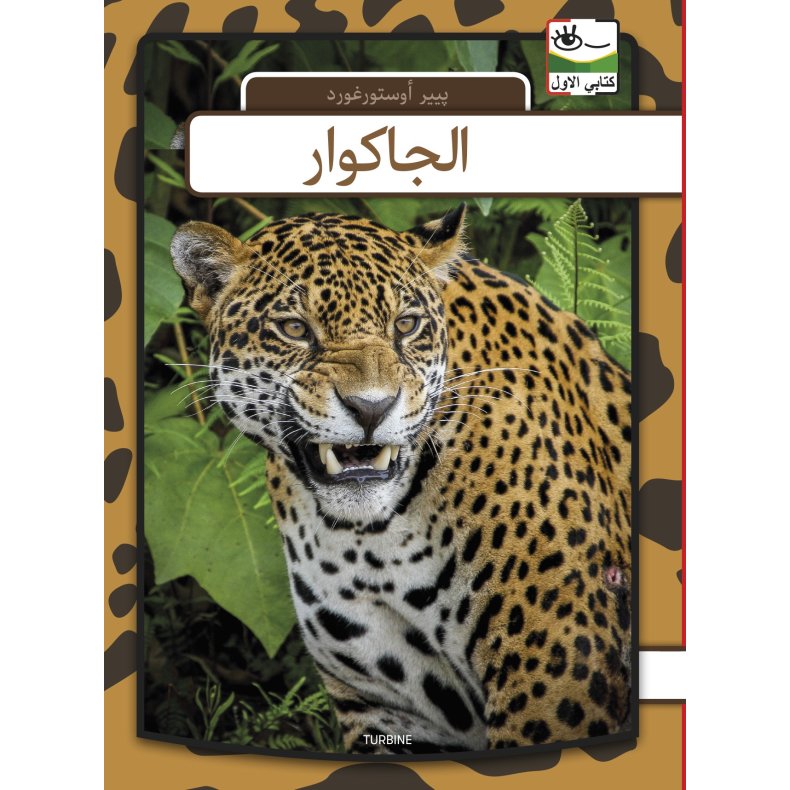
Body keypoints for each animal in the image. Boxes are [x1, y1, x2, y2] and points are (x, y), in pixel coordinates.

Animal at [170, 204, 633, 754]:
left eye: (406, 325)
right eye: (294, 328)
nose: (372, 407)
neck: (372, 542)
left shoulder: (559, 674)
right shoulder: (386, 708)